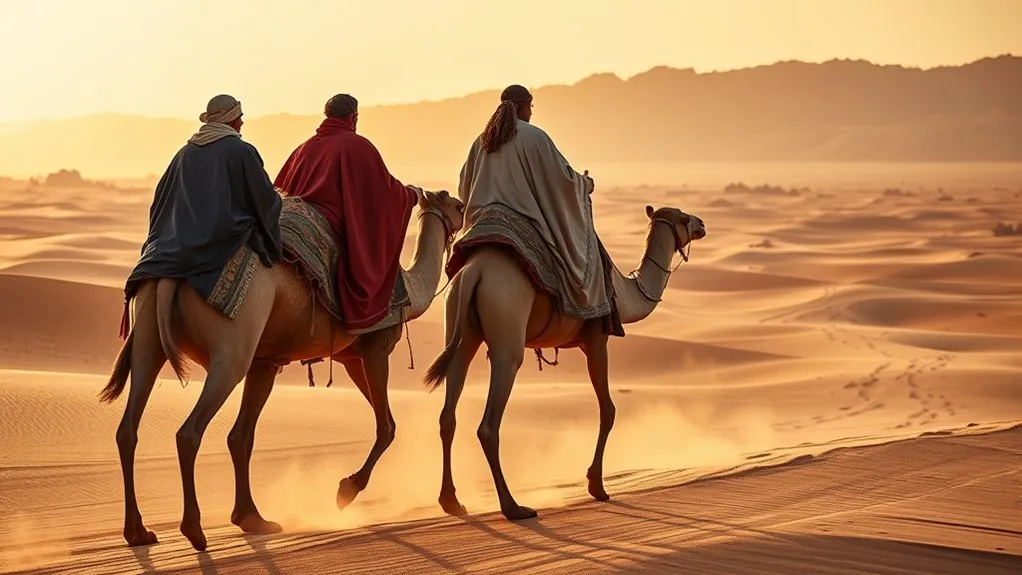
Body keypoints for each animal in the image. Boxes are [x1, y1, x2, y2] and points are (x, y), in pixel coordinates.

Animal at [99, 190, 464, 551]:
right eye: (456, 205)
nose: (464, 212)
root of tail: (172, 276)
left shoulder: (285, 359)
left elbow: (241, 437)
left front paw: (249, 518)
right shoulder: (376, 344)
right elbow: (387, 426)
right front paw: (345, 490)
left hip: (149, 337)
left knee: (128, 427)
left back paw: (138, 532)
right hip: (233, 346)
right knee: (189, 431)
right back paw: (194, 530)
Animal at [423, 204, 706, 521]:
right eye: (683, 218)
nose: (702, 224)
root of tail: (475, 271)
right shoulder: (597, 340)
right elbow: (608, 410)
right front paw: (597, 486)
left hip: (459, 322)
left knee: (448, 412)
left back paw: (451, 501)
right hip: (506, 323)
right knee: (489, 422)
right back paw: (514, 507)